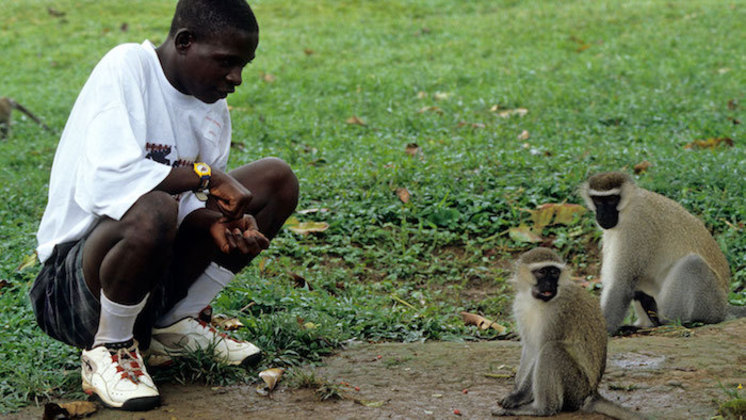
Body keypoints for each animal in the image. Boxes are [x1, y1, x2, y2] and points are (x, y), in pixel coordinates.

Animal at [492, 248, 644, 418]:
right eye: (542, 272)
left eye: (554, 272)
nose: (549, 284)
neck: (536, 301)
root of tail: (591, 394)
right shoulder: (520, 305)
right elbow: (530, 348)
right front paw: (516, 391)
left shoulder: (558, 312)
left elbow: (540, 349)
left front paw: (519, 396)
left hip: (576, 388)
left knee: (551, 350)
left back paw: (541, 409)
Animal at [580, 171, 744, 334]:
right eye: (598, 200)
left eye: (612, 199)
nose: (602, 214)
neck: (629, 206)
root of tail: (724, 308)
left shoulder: (636, 228)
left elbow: (620, 285)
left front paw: (604, 330)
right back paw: (645, 323)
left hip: (711, 305)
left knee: (692, 264)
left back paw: (665, 321)